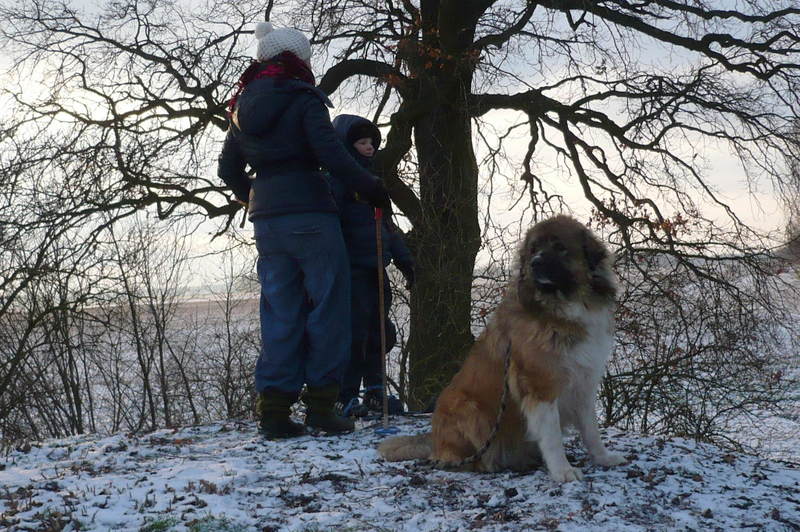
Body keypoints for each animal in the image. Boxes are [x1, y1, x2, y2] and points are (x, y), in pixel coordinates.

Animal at [378, 215, 626, 482]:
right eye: (533, 249)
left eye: (559, 247)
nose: (535, 263)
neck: (562, 311)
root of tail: (433, 441)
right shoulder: (541, 387)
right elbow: (552, 438)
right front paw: (563, 471)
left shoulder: (583, 383)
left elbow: (591, 431)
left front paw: (603, 458)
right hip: (468, 408)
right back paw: (490, 463)